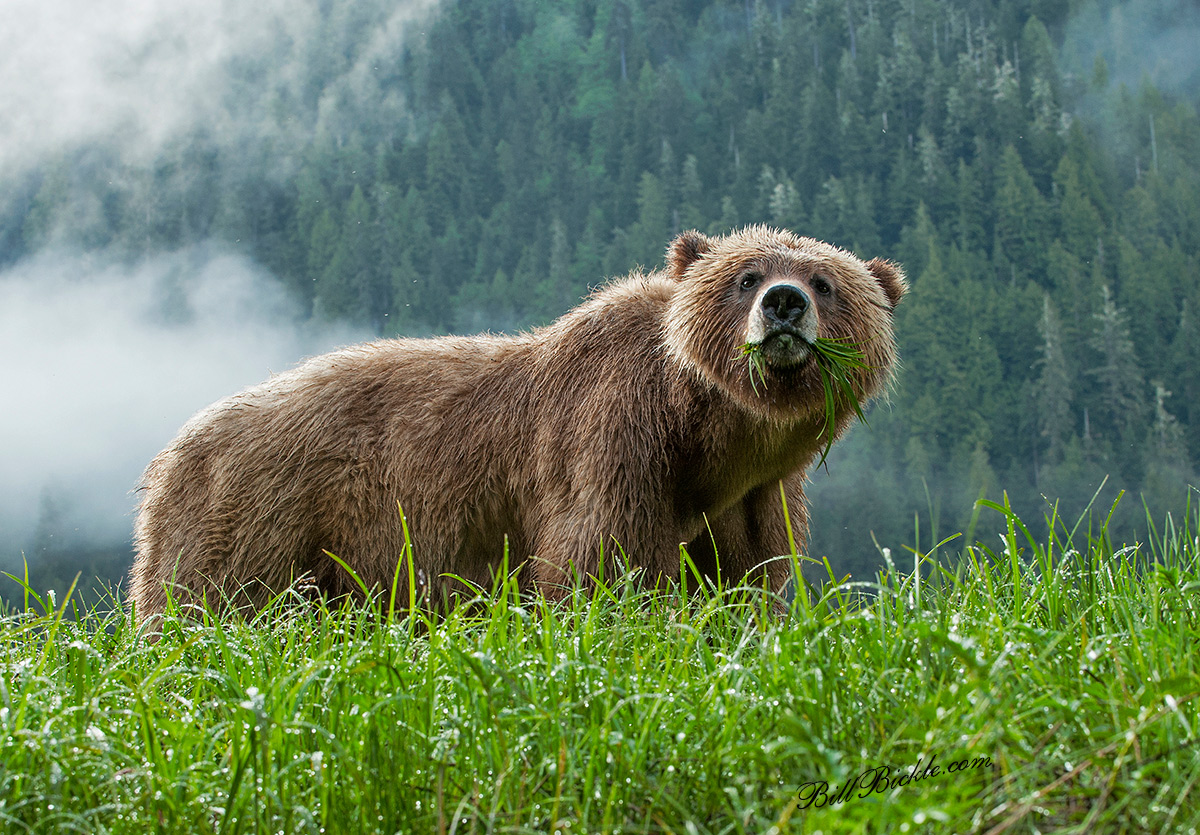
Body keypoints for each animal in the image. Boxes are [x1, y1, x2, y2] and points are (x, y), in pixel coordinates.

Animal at [130, 226, 906, 620]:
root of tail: (169, 453)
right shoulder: (613, 441)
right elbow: (597, 565)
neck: (707, 438)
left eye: (827, 281)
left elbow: (746, 583)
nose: (784, 302)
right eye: (746, 277)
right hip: (256, 518)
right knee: (209, 610)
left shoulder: (753, 499)